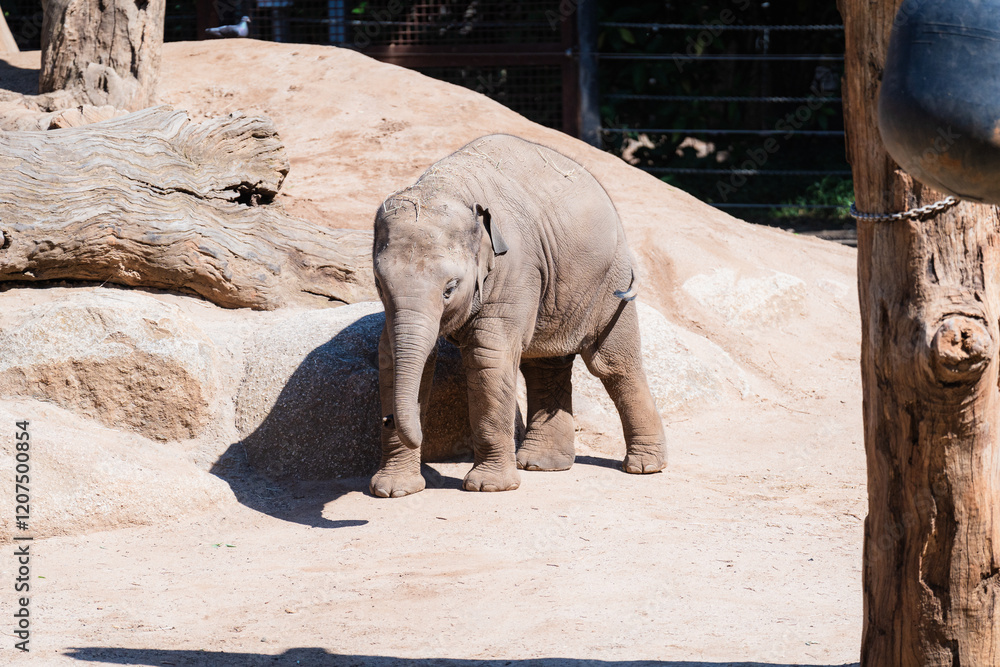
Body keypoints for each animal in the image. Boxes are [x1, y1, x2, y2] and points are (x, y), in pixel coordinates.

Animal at [370, 134, 667, 497]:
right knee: (543, 365)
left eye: (449, 289)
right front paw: (392, 491)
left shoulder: (515, 266)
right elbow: (393, 354)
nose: (387, 419)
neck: (449, 187)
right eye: (379, 283)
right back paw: (542, 465)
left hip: (612, 282)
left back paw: (645, 467)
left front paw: (489, 487)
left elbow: (488, 354)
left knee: (613, 365)